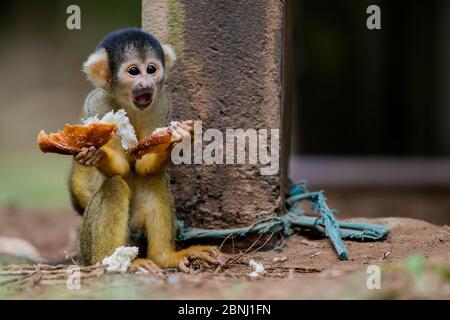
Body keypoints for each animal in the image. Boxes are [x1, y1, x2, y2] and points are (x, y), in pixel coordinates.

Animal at [69, 28, 222, 272]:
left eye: (151, 69)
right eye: (133, 71)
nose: (145, 84)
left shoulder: (161, 103)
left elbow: (144, 167)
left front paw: (174, 138)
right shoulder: (97, 106)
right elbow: (120, 169)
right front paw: (96, 154)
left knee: (153, 178)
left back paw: (164, 257)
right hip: (87, 243)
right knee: (114, 186)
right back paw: (113, 261)